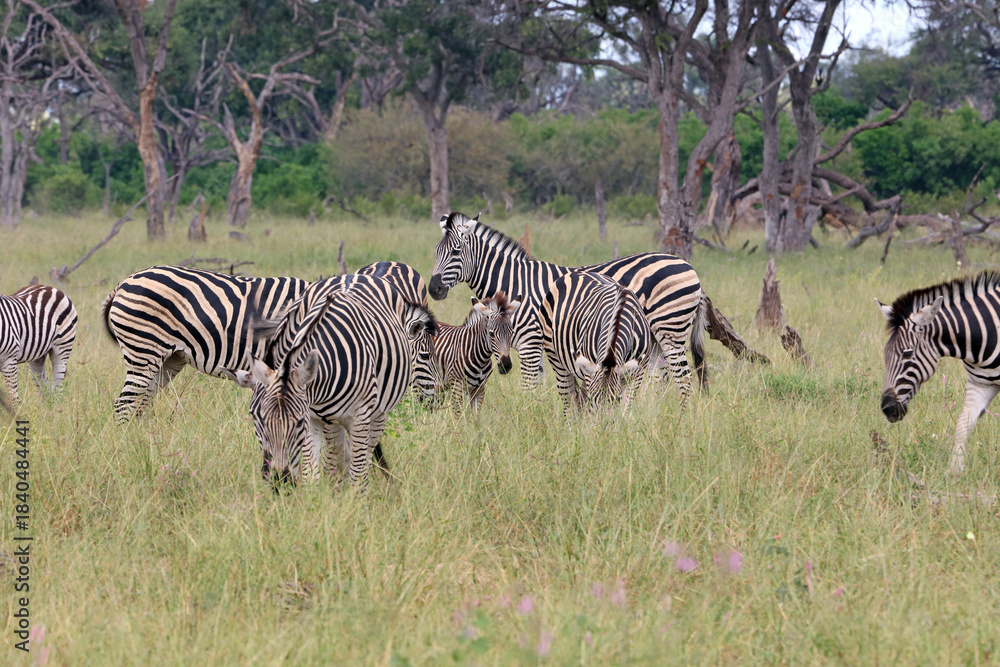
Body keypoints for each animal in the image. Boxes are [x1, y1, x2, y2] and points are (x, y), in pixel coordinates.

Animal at [102, 265, 308, 422]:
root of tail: (125, 281)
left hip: (168, 359)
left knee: (140, 402)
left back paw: (145, 441)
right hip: (143, 350)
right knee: (125, 403)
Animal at [237, 274, 435, 487]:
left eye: (298, 423)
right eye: (256, 417)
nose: (278, 482)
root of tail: (355, 275)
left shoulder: (358, 417)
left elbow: (357, 475)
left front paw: (353, 493)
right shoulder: (313, 417)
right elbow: (311, 473)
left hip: (379, 411)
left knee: (364, 453)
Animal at [541, 271, 653, 411]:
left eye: (616, 400)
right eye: (593, 400)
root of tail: (577, 272)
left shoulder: (638, 373)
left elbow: (626, 408)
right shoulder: (591, 372)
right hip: (557, 360)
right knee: (569, 402)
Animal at [879, 271, 1000, 475]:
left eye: (907, 354)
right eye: (885, 354)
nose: (888, 408)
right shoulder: (981, 384)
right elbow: (962, 426)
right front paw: (955, 474)